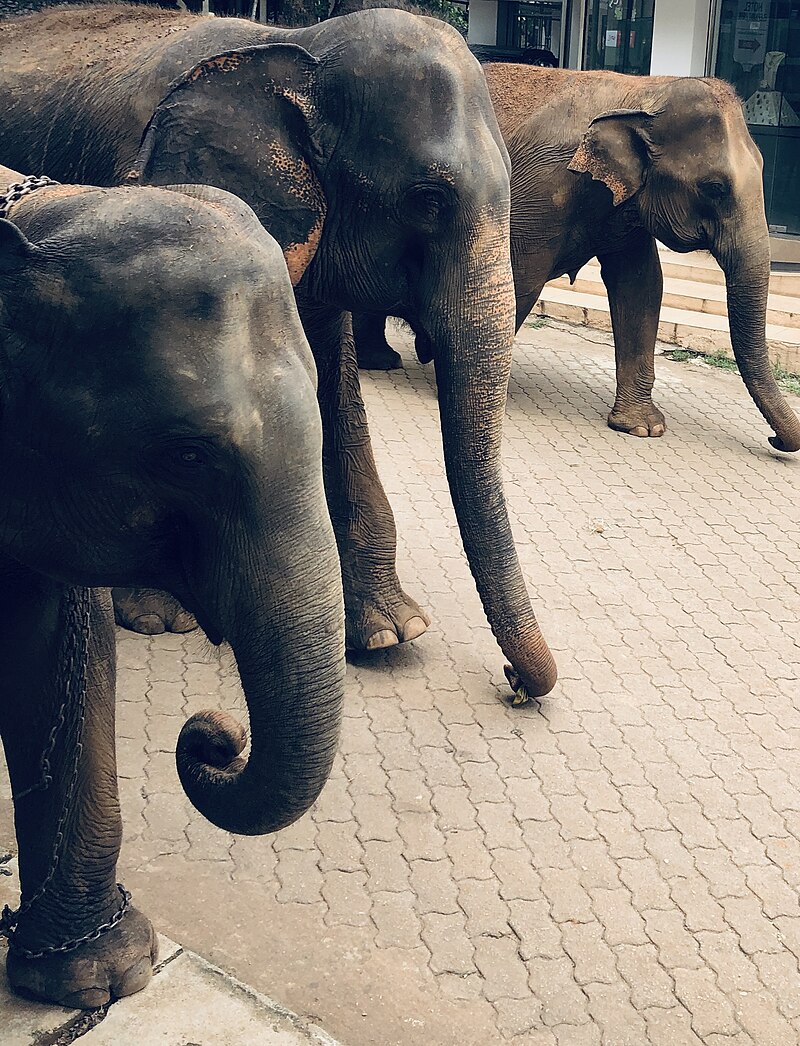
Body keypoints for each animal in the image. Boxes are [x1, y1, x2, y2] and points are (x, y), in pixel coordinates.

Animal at [0, 3, 558, 702]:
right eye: (428, 200)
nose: (512, 682)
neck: (297, 50)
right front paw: (161, 618)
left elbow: (332, 389)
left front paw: (387, 633)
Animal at [355, 65, 800, 454]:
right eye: (714, 187)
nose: (774, 441)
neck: (642, 91)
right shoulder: (540, 190)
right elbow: (519, 277)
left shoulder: (624, 207)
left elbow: (641, 285)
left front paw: (642, 428)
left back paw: (382, 361)